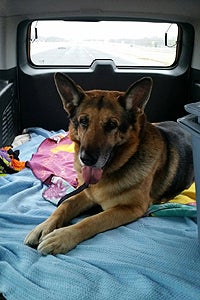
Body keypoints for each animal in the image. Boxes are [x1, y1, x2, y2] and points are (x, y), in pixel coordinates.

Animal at [23, 74, 194, 254]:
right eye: (83, 121)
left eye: (111, 125)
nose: (86, 159)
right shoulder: (87, 193)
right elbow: (65, 204)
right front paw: (44, 226)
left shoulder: (130, 208)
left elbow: (92, 220)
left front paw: (62, 237)